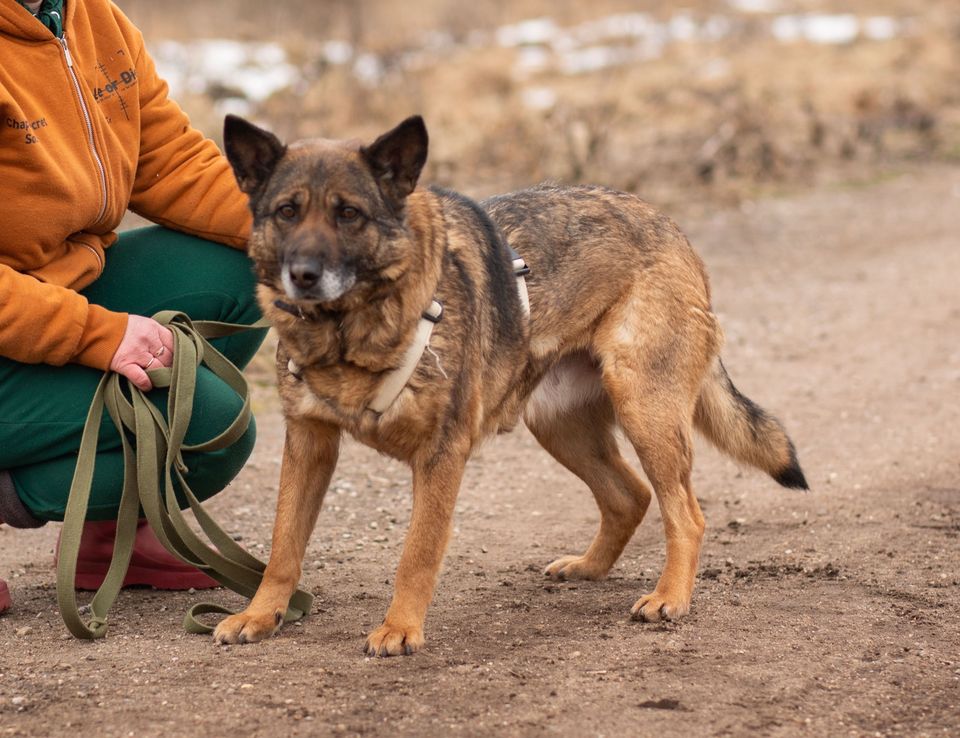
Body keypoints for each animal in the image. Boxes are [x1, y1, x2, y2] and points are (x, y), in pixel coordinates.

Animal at [214, 115, 808, 656]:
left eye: (349, 213)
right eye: (287, 211)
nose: (303, 276)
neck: (348, 333)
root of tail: (667, 224)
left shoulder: (441, 455)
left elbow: (416, 554)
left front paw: (401, 629)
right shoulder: (309, 444)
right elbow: (283, 546)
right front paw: (261, 615)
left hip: (643, 408)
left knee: (685, 513)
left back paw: (670, 597)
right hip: (558, 424)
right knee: (629, 496)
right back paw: (589, 567)